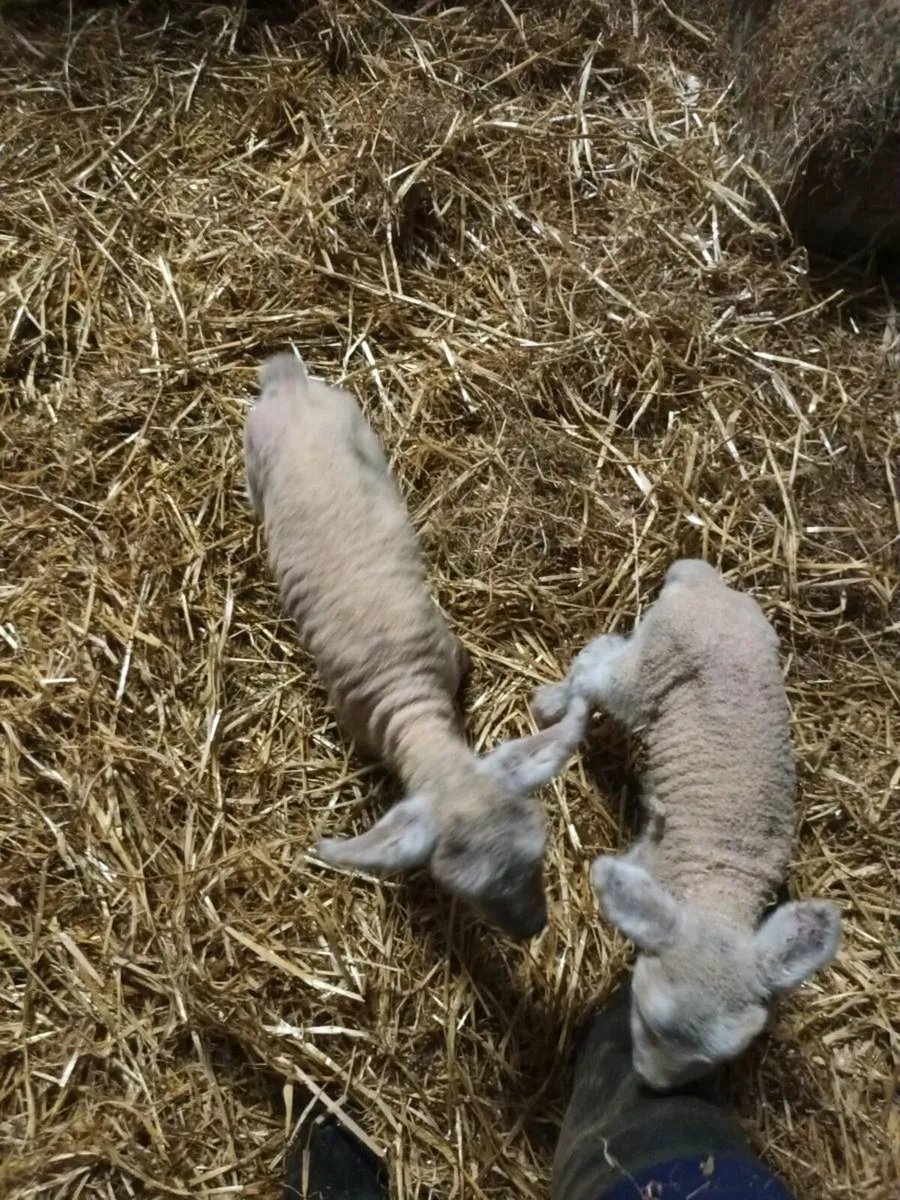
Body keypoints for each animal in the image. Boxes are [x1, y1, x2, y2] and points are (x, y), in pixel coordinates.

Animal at [244, 351, 585, 939]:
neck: (411, 701)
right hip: (252, 465)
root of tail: (287, 385)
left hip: (357, 427)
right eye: (466, 893)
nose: (534, 929)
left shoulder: (451, 657)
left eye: (539, 851)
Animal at [532, 558, 841, 1088]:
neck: (719, 890)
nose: (651, 1085)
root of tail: (700, 581)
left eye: (715, 1059)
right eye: (643, 1020)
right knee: (597, 666)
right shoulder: (647, 861)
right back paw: (553, 702)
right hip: (647, 671)